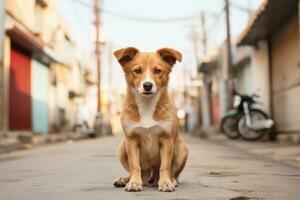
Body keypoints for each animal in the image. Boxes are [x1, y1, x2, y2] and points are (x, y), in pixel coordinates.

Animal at [112, 47, 188, 192]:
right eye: (137, 70)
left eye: (157, 70)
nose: (147, 85)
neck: (147, 104)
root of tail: (150, 177)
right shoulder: (131, 140)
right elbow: (135, 165)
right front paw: (134, 182)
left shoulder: (167, 139)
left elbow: (165, 166)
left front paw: (165, 182)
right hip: (121, 148)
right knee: (134, 171)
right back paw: (125, 180)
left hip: (182, 146)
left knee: (174, 173)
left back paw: (172, 180)